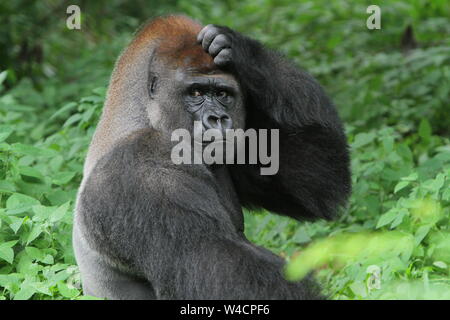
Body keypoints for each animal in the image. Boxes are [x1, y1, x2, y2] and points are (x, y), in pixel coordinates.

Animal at [73, 15, 352, 300]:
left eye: (222, 94)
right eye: (196, 93)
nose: (217, 118)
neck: (144, 118)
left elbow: (315, 185)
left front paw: (241, 50)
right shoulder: (143, 169)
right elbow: (222, 272)